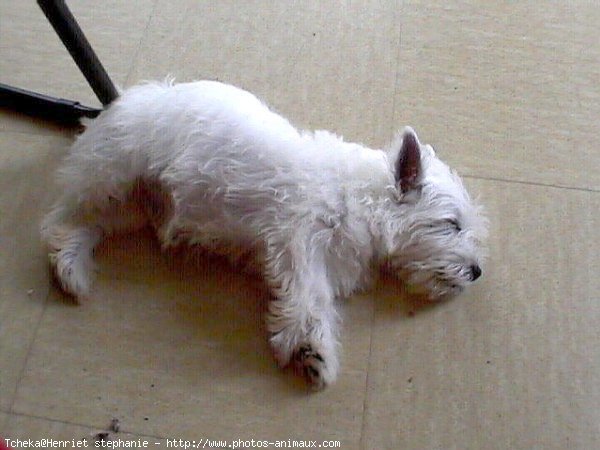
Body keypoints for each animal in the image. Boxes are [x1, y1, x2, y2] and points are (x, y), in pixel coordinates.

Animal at [39, 79, 486, 388]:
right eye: (451, 224)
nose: (477, 271)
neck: (359, 199)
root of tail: (111, 109)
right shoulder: (298, 242)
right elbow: (309, 296)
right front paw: (311, 350)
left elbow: (316, 297)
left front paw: (313, 352)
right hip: (111, 177)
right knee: (61, 219)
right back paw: (70, 273)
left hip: (127, 208)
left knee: (83, 227)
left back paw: (74, 272)